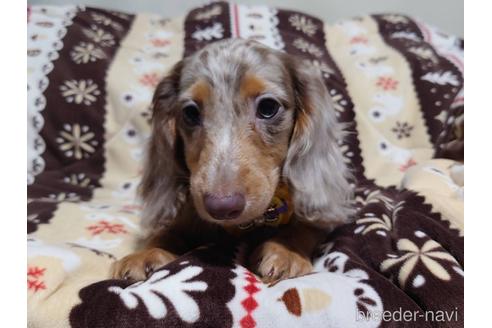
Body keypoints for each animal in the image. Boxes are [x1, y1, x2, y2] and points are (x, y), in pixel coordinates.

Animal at [110, 39, 352, 284]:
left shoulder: (319, 221)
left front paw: (285, 251)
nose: (222, 207)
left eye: (268, 108)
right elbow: (168, 231)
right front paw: (147, 252)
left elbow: (303, 228)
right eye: (190, 112)